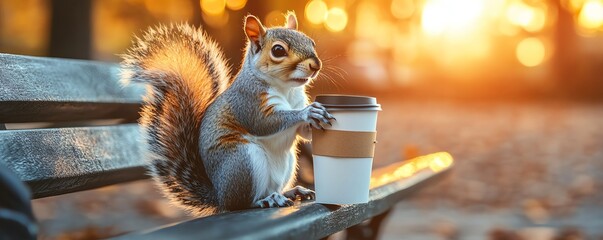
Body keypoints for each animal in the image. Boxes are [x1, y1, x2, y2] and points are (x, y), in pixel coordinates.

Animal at [118, 11, 336, 216]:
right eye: (278, 50)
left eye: (311, 42)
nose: (316, 65)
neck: (286, 89)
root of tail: (220, 195)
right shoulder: (247, 102)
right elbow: (264, 123)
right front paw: (307, 112)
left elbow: (303, 133)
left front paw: (317, 115)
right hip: (242, 161)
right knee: (240, 204)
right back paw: (265, 200)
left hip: (288, 162)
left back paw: (291, 192)